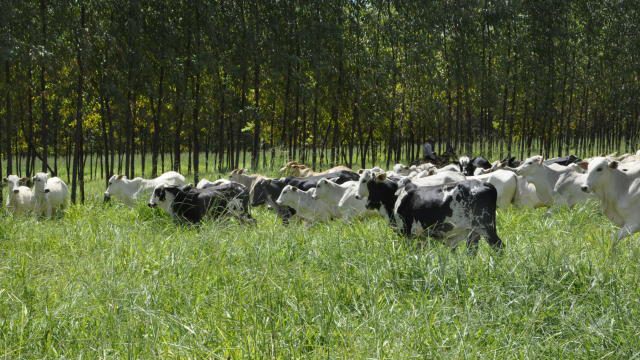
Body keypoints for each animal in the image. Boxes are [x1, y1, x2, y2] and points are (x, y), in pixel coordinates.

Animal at [362, 172, 502, 252]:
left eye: (372, 186)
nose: (367, 204)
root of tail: (486, 184)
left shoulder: (406, 232)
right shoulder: (421, 236)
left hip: (486, 227)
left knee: (498, 247)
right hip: (474, 232)